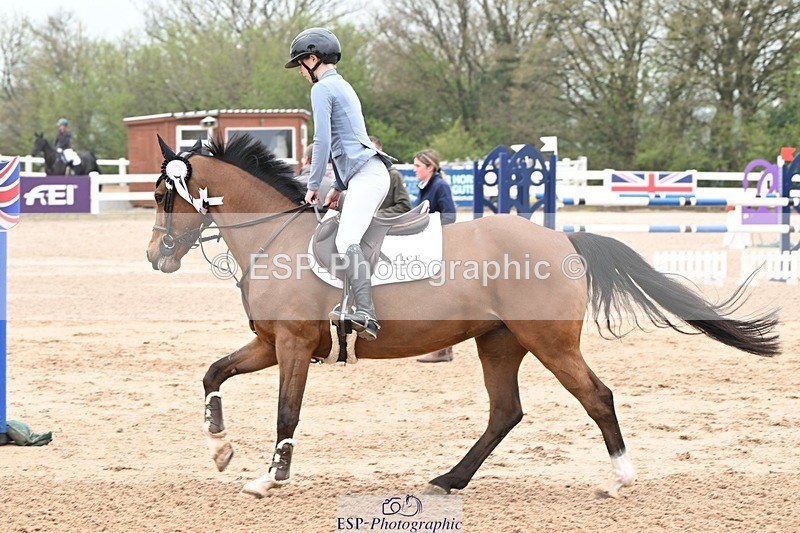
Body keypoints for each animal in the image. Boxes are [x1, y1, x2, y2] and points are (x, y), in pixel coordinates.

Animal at [145, 133, 779, 499]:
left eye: (162, 196)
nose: (155, 256)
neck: (274, 238)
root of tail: (563, 239)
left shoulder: (295, 346)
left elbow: (286, 412)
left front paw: (268, 479)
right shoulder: (269, 344)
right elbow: (213, 373)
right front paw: (220, 447)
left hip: (551, 344)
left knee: (596, 396)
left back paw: (620, 478)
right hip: (499, 342)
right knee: (505, 412)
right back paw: (450, 479)